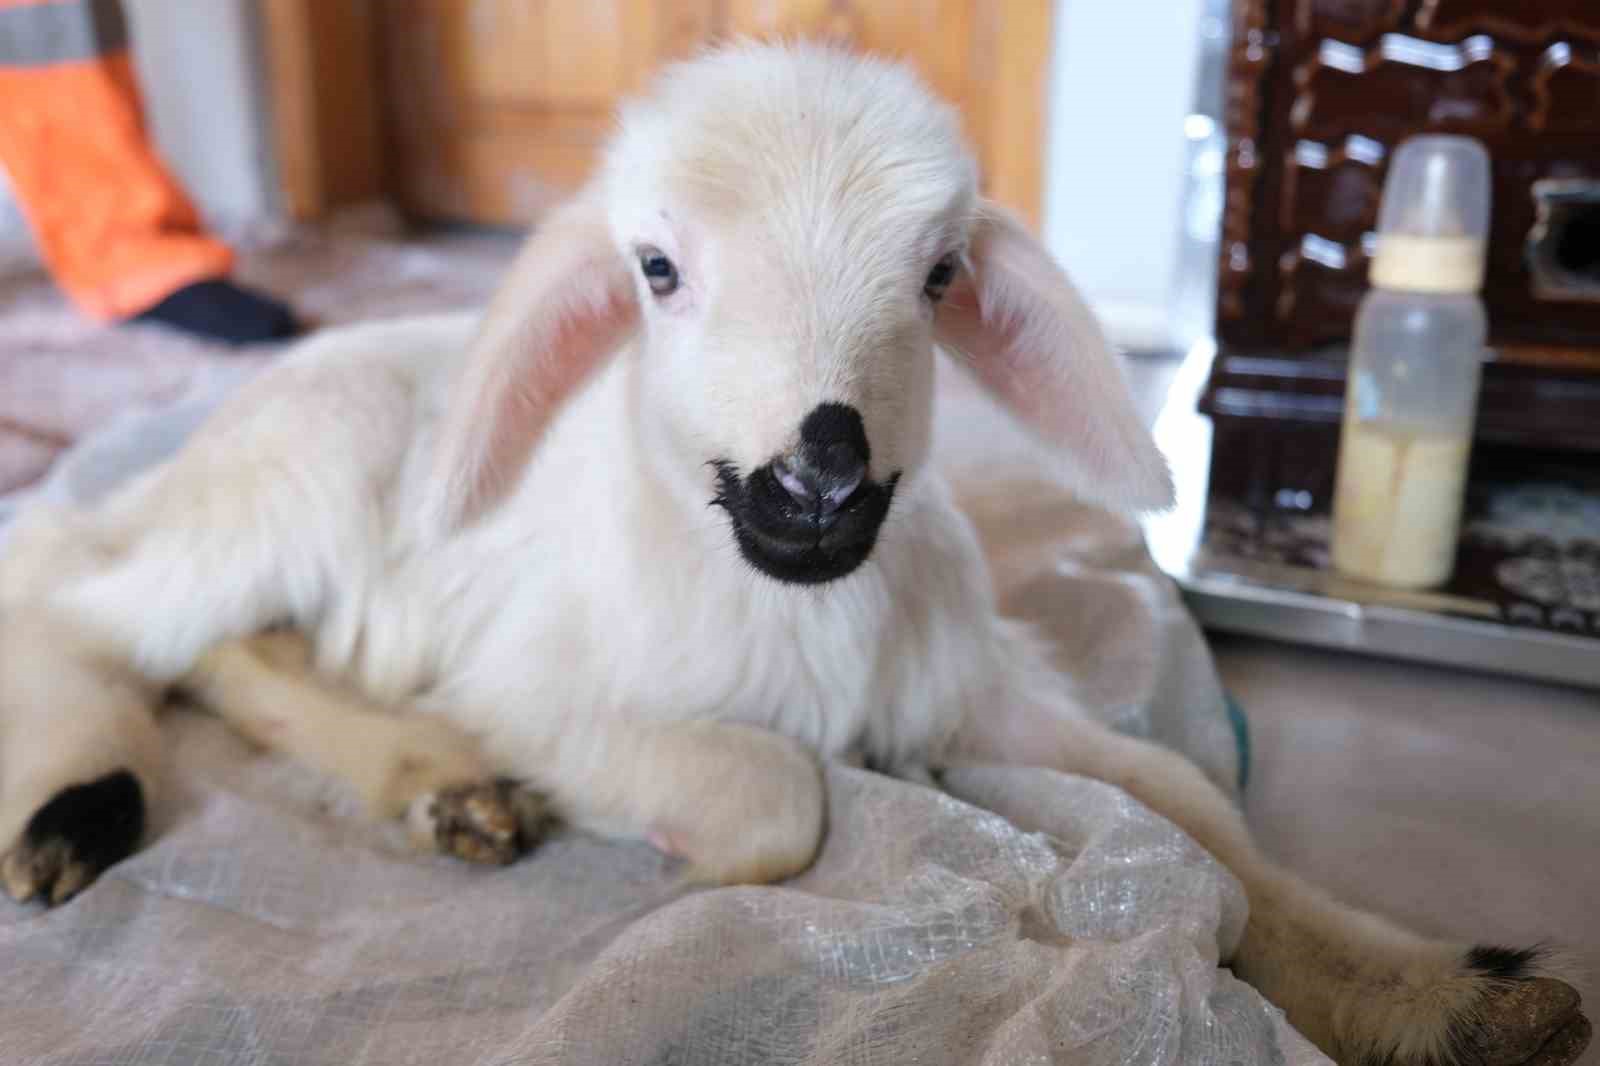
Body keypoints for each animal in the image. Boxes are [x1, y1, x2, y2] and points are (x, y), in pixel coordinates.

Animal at [0, 41, 1580, 1062]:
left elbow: (1198, 817)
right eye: (654, 269)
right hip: (298, 479)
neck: (794, 610)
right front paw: (652, 853)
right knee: (96, 609)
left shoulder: (966, 685)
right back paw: (197, 793)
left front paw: (1444, 992)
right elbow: (778, 795)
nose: (818, 470)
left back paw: (432, 788)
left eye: (939, 274)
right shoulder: (535, 684)